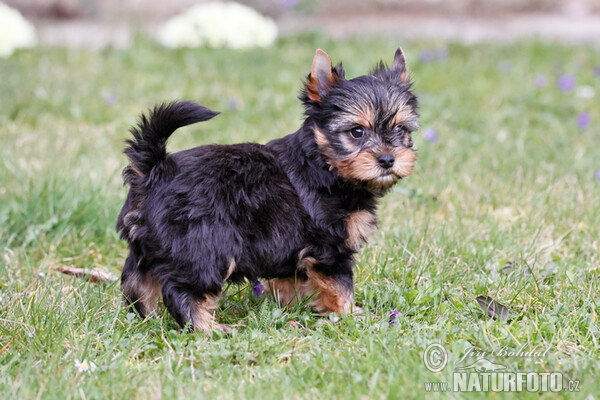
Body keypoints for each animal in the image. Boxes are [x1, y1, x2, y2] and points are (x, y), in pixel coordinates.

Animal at [116, 47, 418, 334]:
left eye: (400, 129)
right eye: (357, 132)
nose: (387, 159)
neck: (323, 164)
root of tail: (155, 169)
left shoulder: (290, 248)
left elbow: (291, 281)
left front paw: (296, 309)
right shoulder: (330, 249)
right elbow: (341, 286)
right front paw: (352, 315)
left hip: (150, 247)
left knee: (136, 282)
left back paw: (149, 317)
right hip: (206, 248)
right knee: (183, 289)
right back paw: (208, 328)